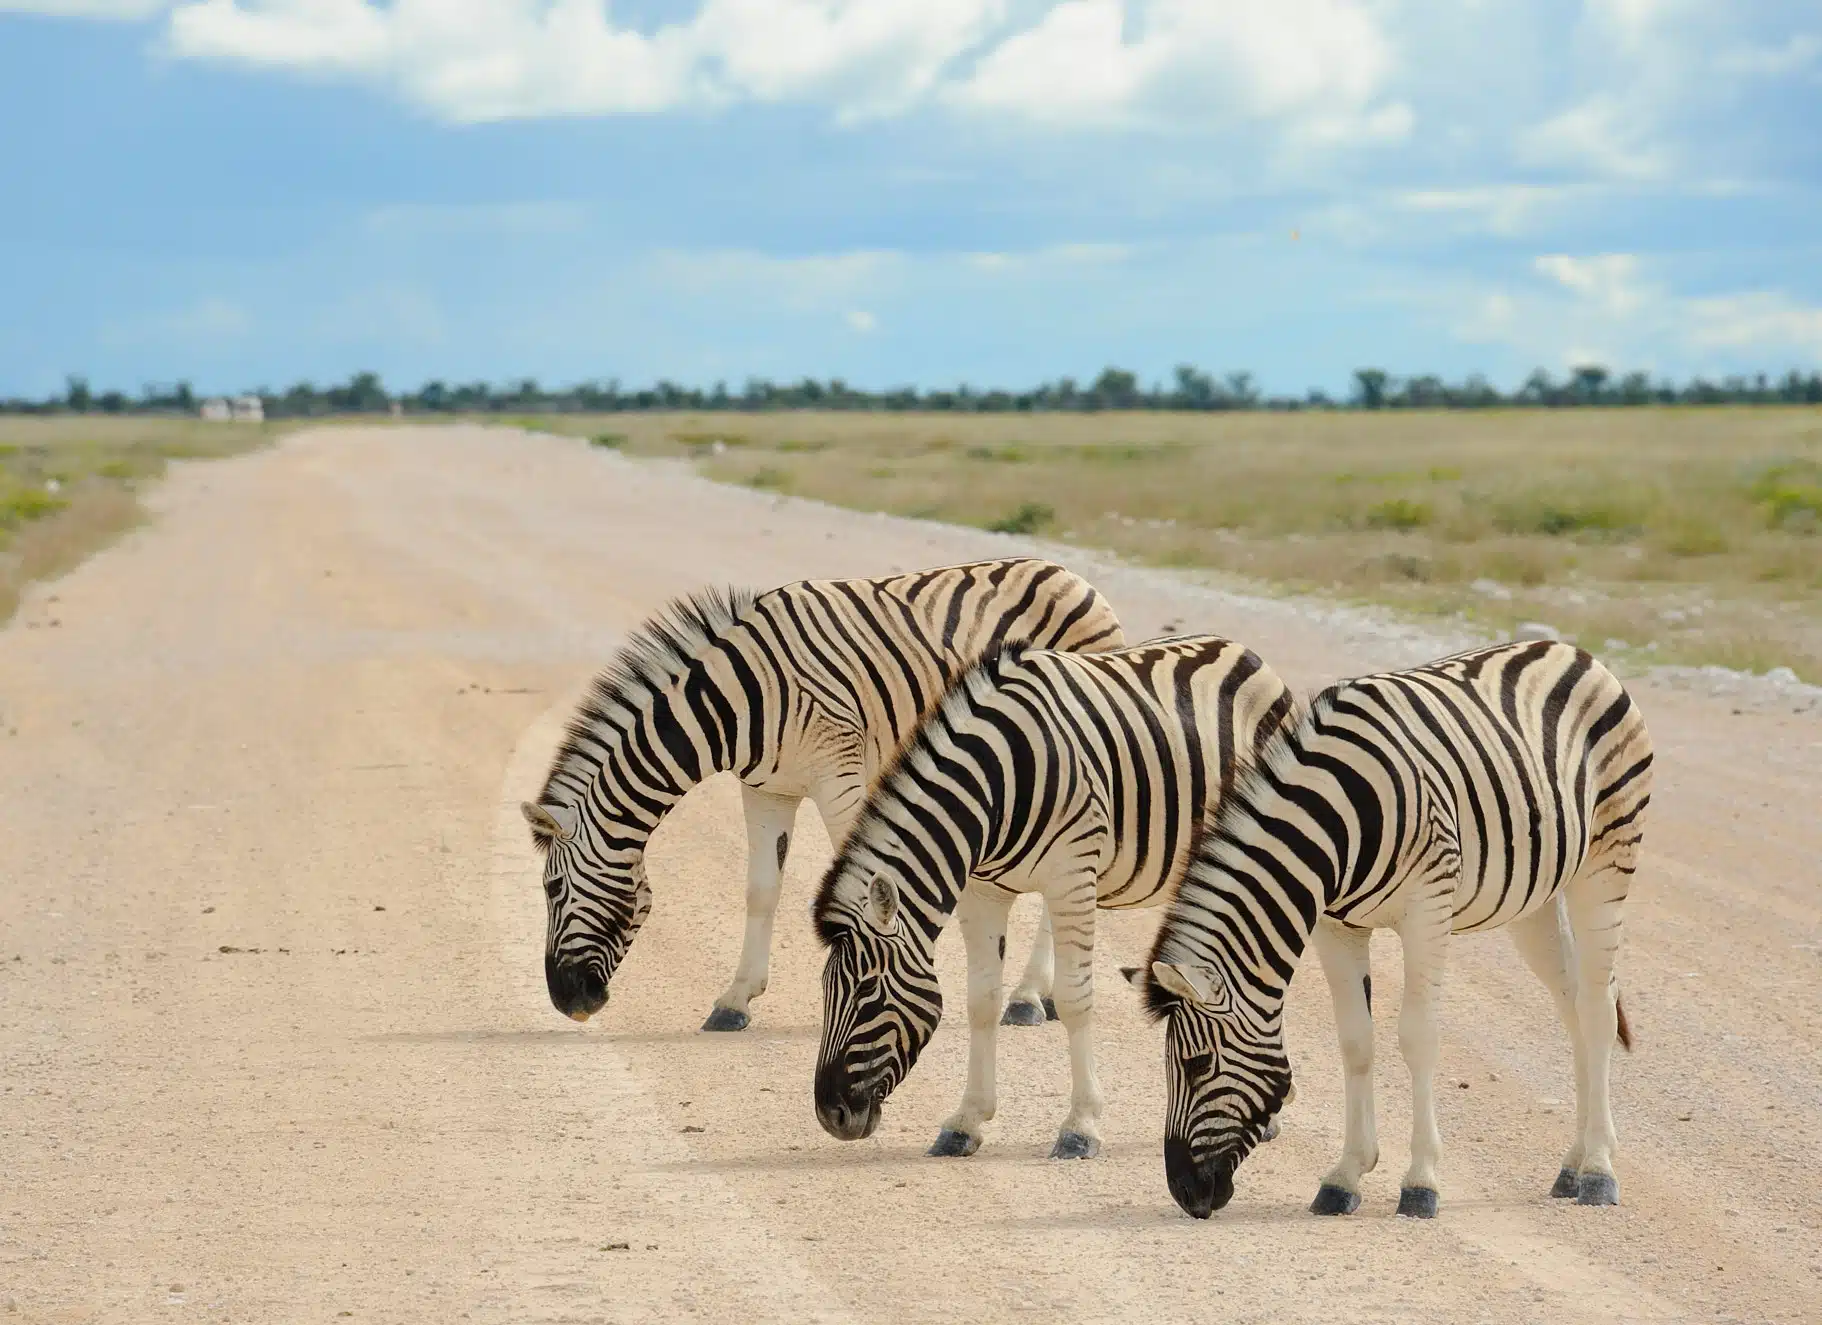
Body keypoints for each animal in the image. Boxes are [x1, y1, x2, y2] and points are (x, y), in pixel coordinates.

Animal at [520, 558, 1125, 1033]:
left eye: (552, 889)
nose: (567, 1003)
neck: (735, 701)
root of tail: (1074, 577)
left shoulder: (840, 775)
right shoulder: (765, 790)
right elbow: (761, 890)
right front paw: (735, 1002)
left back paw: (1027, 999)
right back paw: (1045, 996)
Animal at [811, 636, 1294, 1160]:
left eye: (868, 994)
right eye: (825, 992)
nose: (831, 1116)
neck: (995, 786)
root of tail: (1241, 649)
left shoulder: (1070, 877)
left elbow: (1075, 998)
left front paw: (1081, 1126)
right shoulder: (982, 891)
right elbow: (981, 999)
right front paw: (966, 1121)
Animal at [1131, 640, 1651, 1220]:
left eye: (1198, 1064)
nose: (1185, 1193)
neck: (1332, 825)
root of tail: (1570, 649)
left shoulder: (1428, 906)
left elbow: (1417, 1037)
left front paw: (1421, 1183)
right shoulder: (1334, 926)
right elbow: (1356, 1041)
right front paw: (1344, 1177)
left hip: (1606, 861)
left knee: (1597, 1010)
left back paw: (1598, 1171)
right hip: (1533, 902)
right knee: (1573, 1005)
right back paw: (1572, 1165)